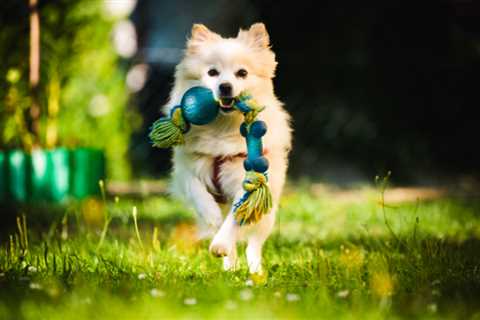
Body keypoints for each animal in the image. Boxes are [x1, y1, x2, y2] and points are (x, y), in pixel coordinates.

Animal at [163, 22, 292, 274]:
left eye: (242, 73)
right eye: (212, 72)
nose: (225, 86)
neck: (221, 128)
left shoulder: (248, 180)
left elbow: (235, 217)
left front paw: (221, 243)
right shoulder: (186, 169)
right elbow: (197, 190)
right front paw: (211, 214)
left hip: (267, 215)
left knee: (254, 245)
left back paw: (255, 271)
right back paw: (230, 266)